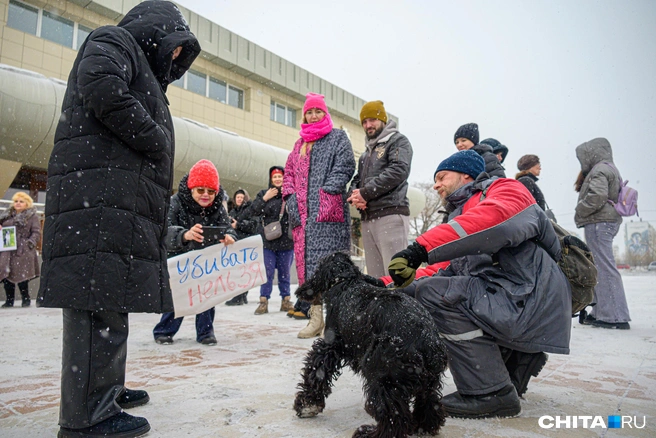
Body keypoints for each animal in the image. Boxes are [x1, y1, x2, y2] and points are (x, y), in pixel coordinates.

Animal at [294, 252, 448, 436]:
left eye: (317, 268)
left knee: (393, 418)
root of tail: (427, 342)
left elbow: (316, 368)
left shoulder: (331, 344)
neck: (345, 281)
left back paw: (367, 433)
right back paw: (423, 427)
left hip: (381, 375)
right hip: (428, 380)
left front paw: (307, 405)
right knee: (430, 402)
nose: (300, 291)